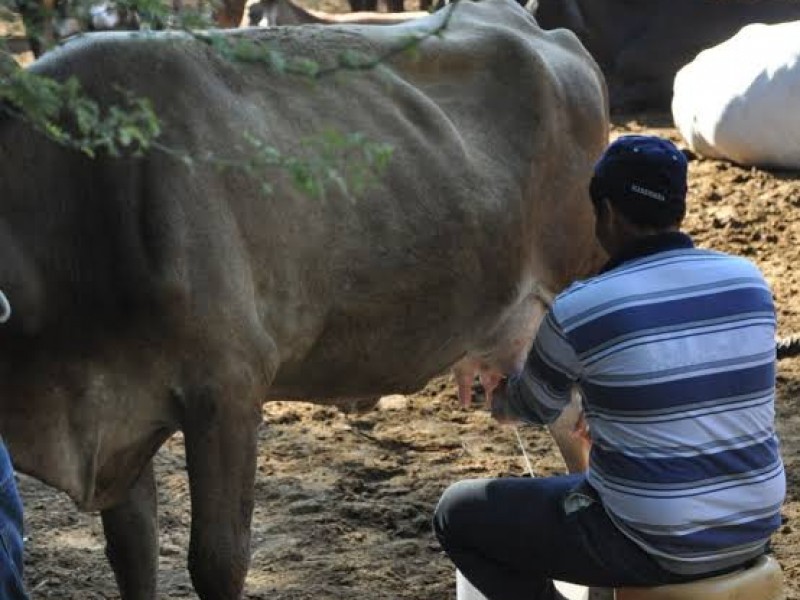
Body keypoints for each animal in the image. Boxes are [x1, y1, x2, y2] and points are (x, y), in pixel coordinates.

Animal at [0, 1, 608, 596]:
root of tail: (535, 26)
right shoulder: (119, 415)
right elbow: (132, 550)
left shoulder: (228, 388)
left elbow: (217, 561)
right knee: (570, 435)